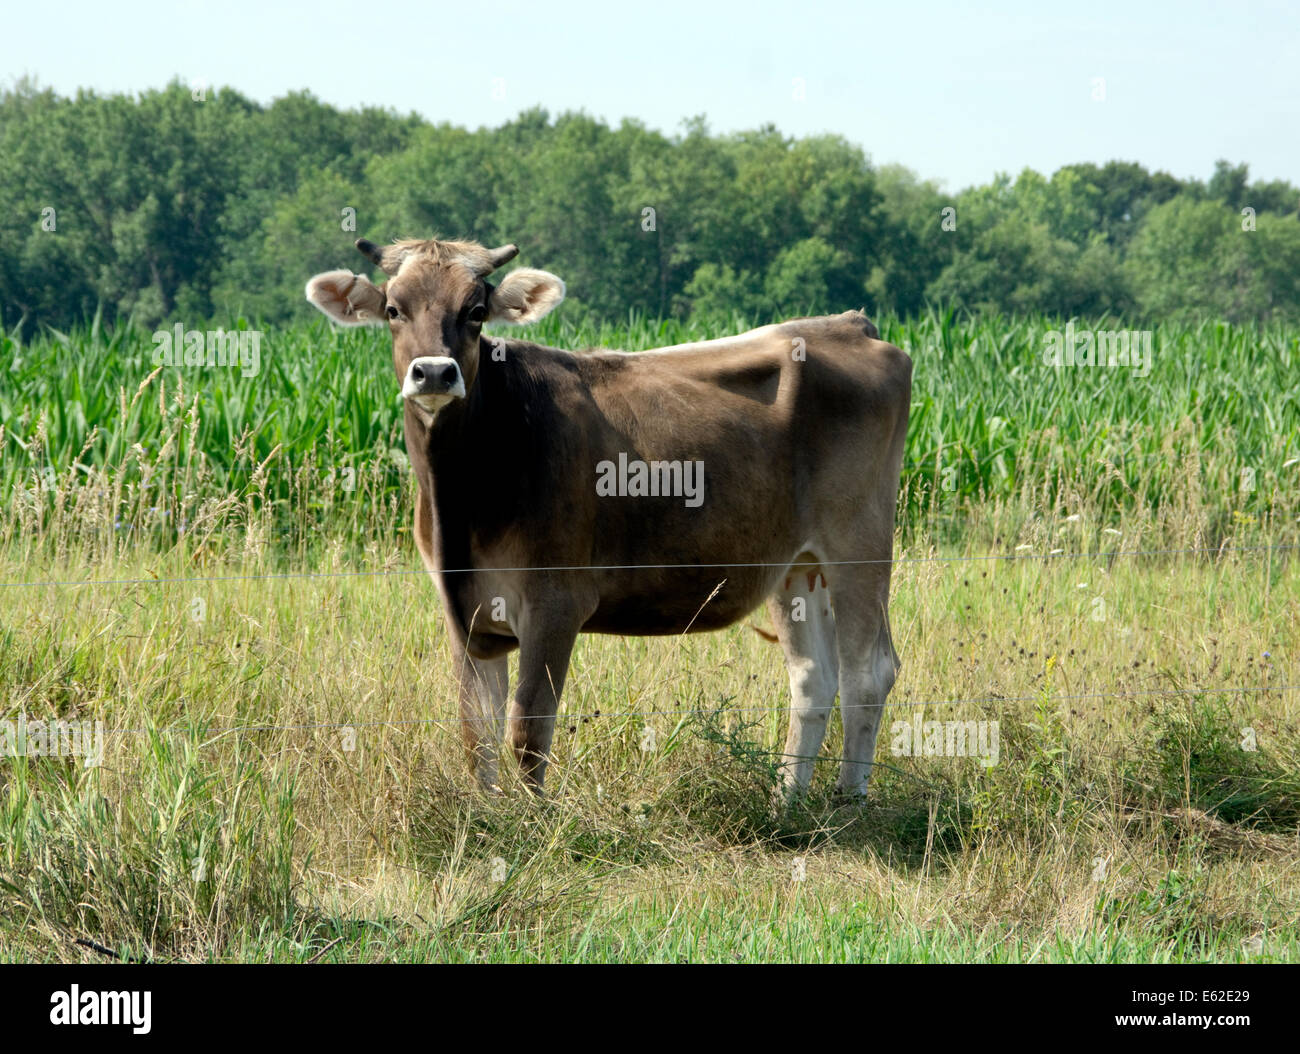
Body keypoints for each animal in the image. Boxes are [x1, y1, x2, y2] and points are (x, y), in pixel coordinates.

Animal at [305, 237, 911, 803]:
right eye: (393, 309)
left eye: (475, 310)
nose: (434, 372)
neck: (462, 497)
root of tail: (848, 324)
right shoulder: (464, 611)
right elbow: (476, 733)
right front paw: (488, 815)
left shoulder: (555, 601)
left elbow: (527, 729)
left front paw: (528, 823)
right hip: (796, 563)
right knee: (813, 678)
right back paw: (787, 805)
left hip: (859, 543)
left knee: (867, 671)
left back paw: (849, 803)